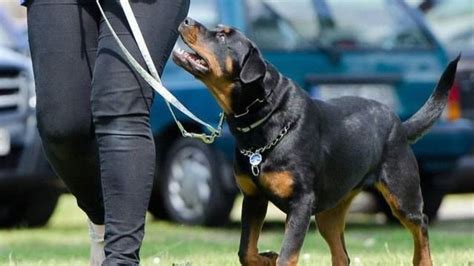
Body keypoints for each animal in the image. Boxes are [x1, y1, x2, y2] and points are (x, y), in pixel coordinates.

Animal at [173, 17, 460, 264]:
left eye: (222, 36)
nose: (187, 20)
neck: (263, 119)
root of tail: (399, 124)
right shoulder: (253, 198)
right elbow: (246, 251)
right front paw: (267, 257)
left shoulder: (301, 203)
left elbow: (288, 254)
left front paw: (276, 257)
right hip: (329, 212)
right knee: (341, 254)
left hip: (401, 192)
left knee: (420, 225)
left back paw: (422, 259)